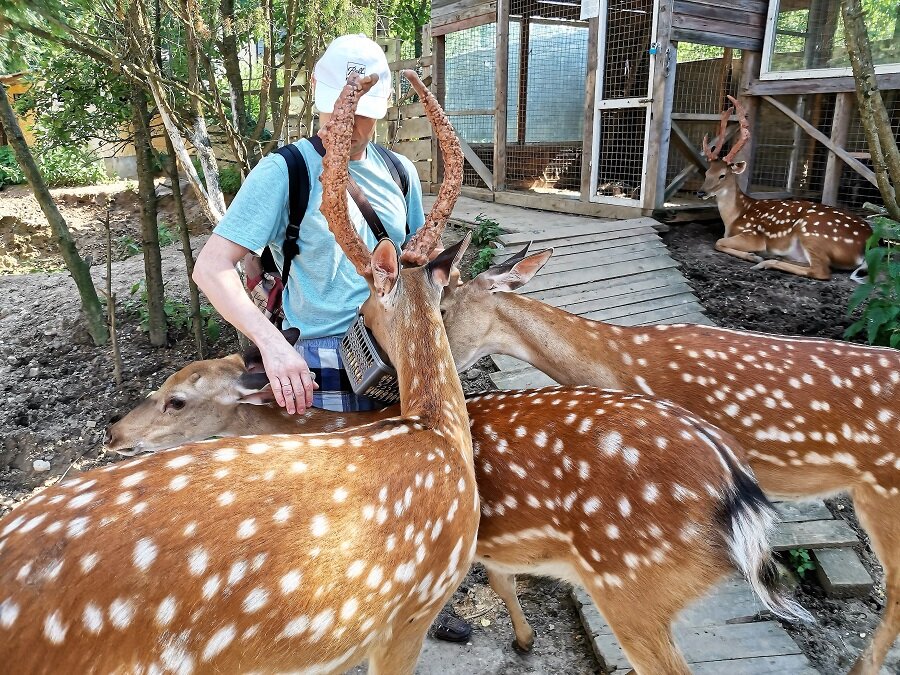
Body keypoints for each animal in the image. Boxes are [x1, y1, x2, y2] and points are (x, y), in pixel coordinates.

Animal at [700, 95, 868, 280]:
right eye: (707, 172)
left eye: (722, 175)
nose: (700, 192)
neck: (734, 217)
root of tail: (869, 243)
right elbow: (719, 241)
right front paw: (754, 255)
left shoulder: (753, 234)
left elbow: (718, 242)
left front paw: (753, 256)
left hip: (812, 232)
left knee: (821, 271)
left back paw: (764, 262)